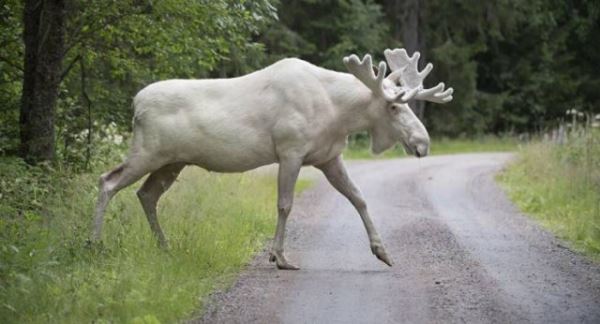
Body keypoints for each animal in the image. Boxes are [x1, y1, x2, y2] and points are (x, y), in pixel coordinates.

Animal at [92, 48, 450, 270]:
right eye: (394, 106)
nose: (423, 143)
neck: (338, 113)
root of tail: (135, 104)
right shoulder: (290, 151)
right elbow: (285, 204)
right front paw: (279, 257)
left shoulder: (328, 157)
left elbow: (359, 198)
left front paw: (382, 251)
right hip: (148, 152)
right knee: (107, 181)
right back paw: (94, 243)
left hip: (172, 161)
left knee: (146, 194)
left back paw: (164, 247)